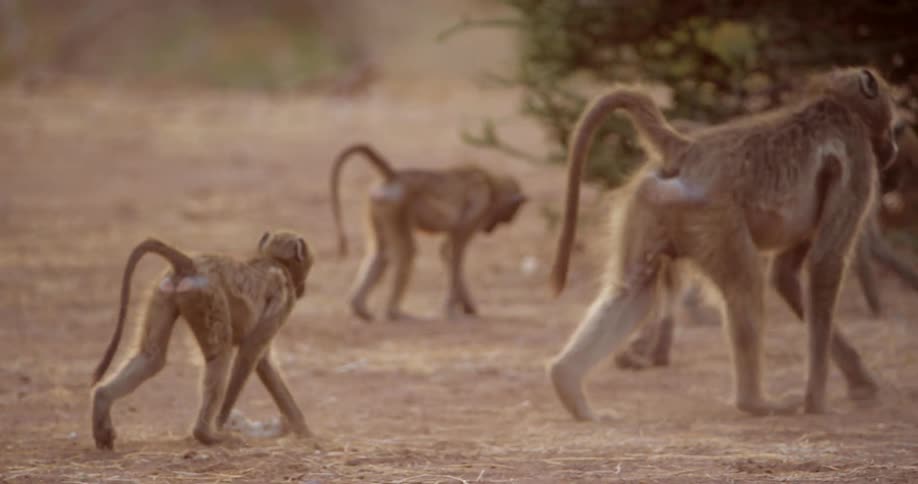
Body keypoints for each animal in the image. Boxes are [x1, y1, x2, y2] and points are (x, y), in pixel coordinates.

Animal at [90, 231, 313, 450]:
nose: (302, 289)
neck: (273, 262)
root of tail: (190, 264)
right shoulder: (284, 297)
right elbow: (249, 353)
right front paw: (222, 422)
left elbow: (263, 360)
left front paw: (304, 431)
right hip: (208, 297)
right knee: (220, 357)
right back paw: (206, 434)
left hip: (165, 291)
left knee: (152, 356)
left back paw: (102, 405)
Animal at [330, 143, 526, 321]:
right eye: (511, 213)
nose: (490, 229)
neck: (490, 183)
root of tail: (394, 176)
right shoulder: (479, 205)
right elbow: (454, 251)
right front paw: (451, 309)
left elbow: (446, 251)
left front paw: (467, 307)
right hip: (397, 207)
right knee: (406, 252)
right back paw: (394, 313)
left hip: (378, 206)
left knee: (380, 253)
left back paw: (360, 309)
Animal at [548, 67, 898, 421]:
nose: (894, 148)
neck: (836, 105)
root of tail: (690, 149)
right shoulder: (858, 158)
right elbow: (825, 262)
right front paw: (818, 403)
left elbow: (785, 274)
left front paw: (858, 382)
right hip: (714, 216)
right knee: (745, 286)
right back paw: (755, 402)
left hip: (653, 199)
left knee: (634, 292)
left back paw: (570, 386)